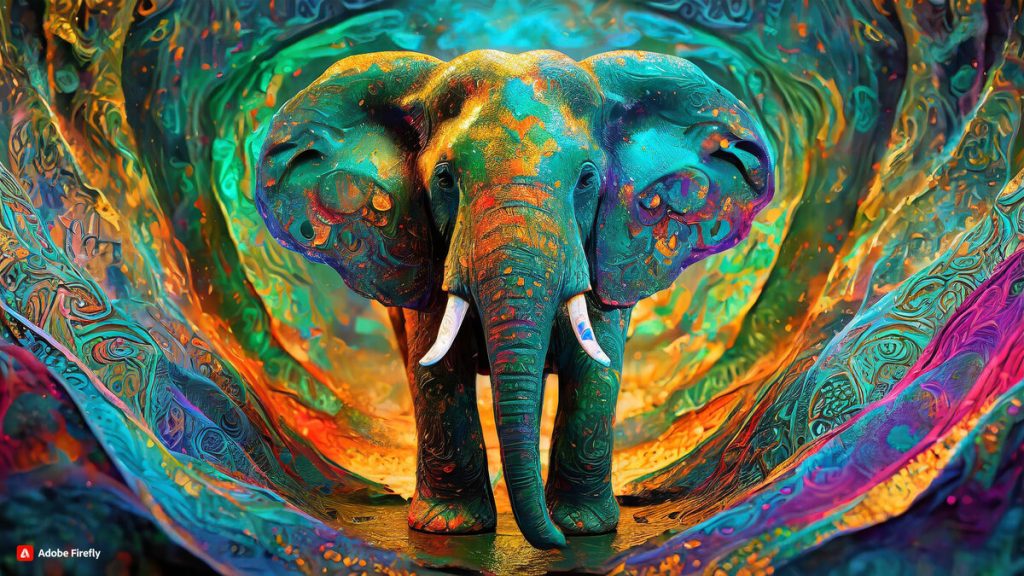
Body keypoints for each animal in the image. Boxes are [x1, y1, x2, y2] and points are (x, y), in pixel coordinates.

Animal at [254, 50, 774, 549]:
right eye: (445, 179)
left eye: (587, 180)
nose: (555, 543)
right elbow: (437, 368)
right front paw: (450, 529)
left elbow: (595, 368)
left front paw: (586, 529)